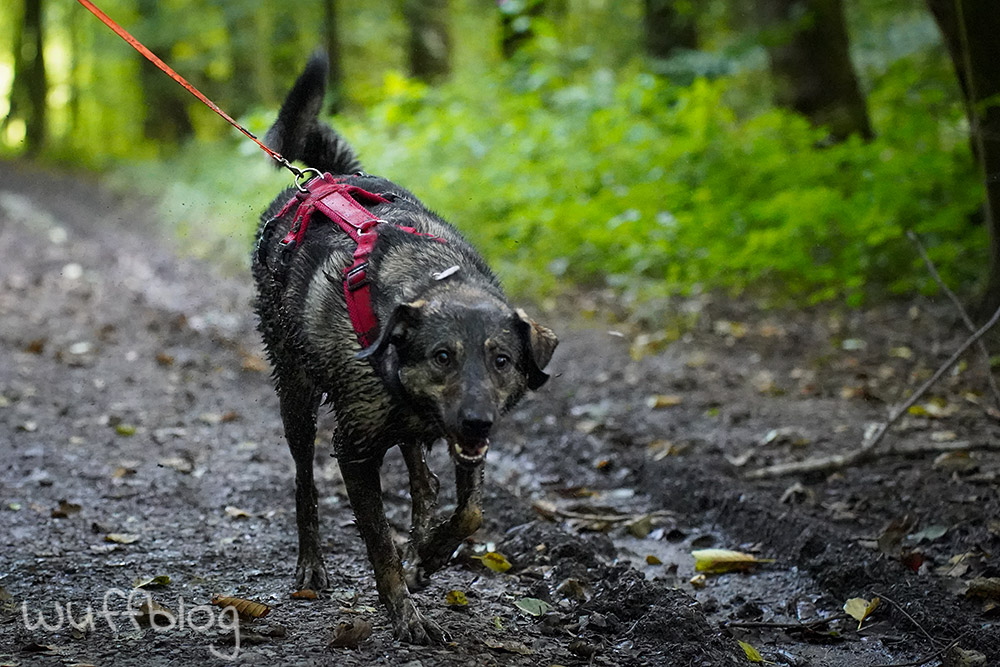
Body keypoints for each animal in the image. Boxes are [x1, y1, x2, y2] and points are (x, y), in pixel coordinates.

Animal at [250, 54, 560, 644]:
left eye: (502, 361)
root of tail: (323, 179)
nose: (479, 421)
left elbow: (471, 512)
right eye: (442, 356)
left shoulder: (461, 440)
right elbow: (379, 545)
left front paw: (432, 554)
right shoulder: (354, 449)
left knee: (423, 473)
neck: (432, 282)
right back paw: (311, 564)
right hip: (294, 390)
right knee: (304, 479)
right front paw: (404, 611)